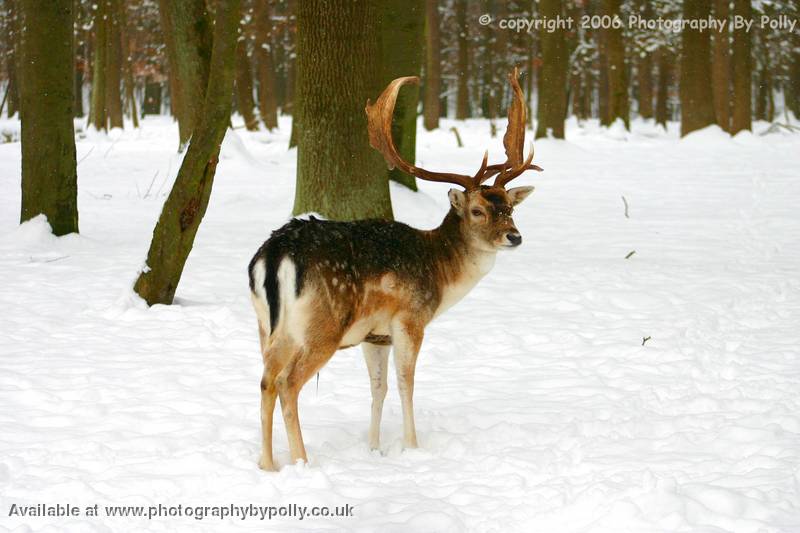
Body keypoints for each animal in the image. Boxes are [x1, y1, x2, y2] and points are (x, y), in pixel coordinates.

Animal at [247, 67, 540, 470]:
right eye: (478, 210)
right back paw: (302, 461)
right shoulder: (410, 319)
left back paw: (268, 464)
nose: (515, 236)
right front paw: (412, 446)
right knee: (286, 382)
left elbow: (378, 387)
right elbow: (405, 383)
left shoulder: (375, 336)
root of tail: (275, 254)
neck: (440, 273)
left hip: (268, 326)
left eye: (509, 208)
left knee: (265, 379)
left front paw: (374, 448)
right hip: (322, 325)